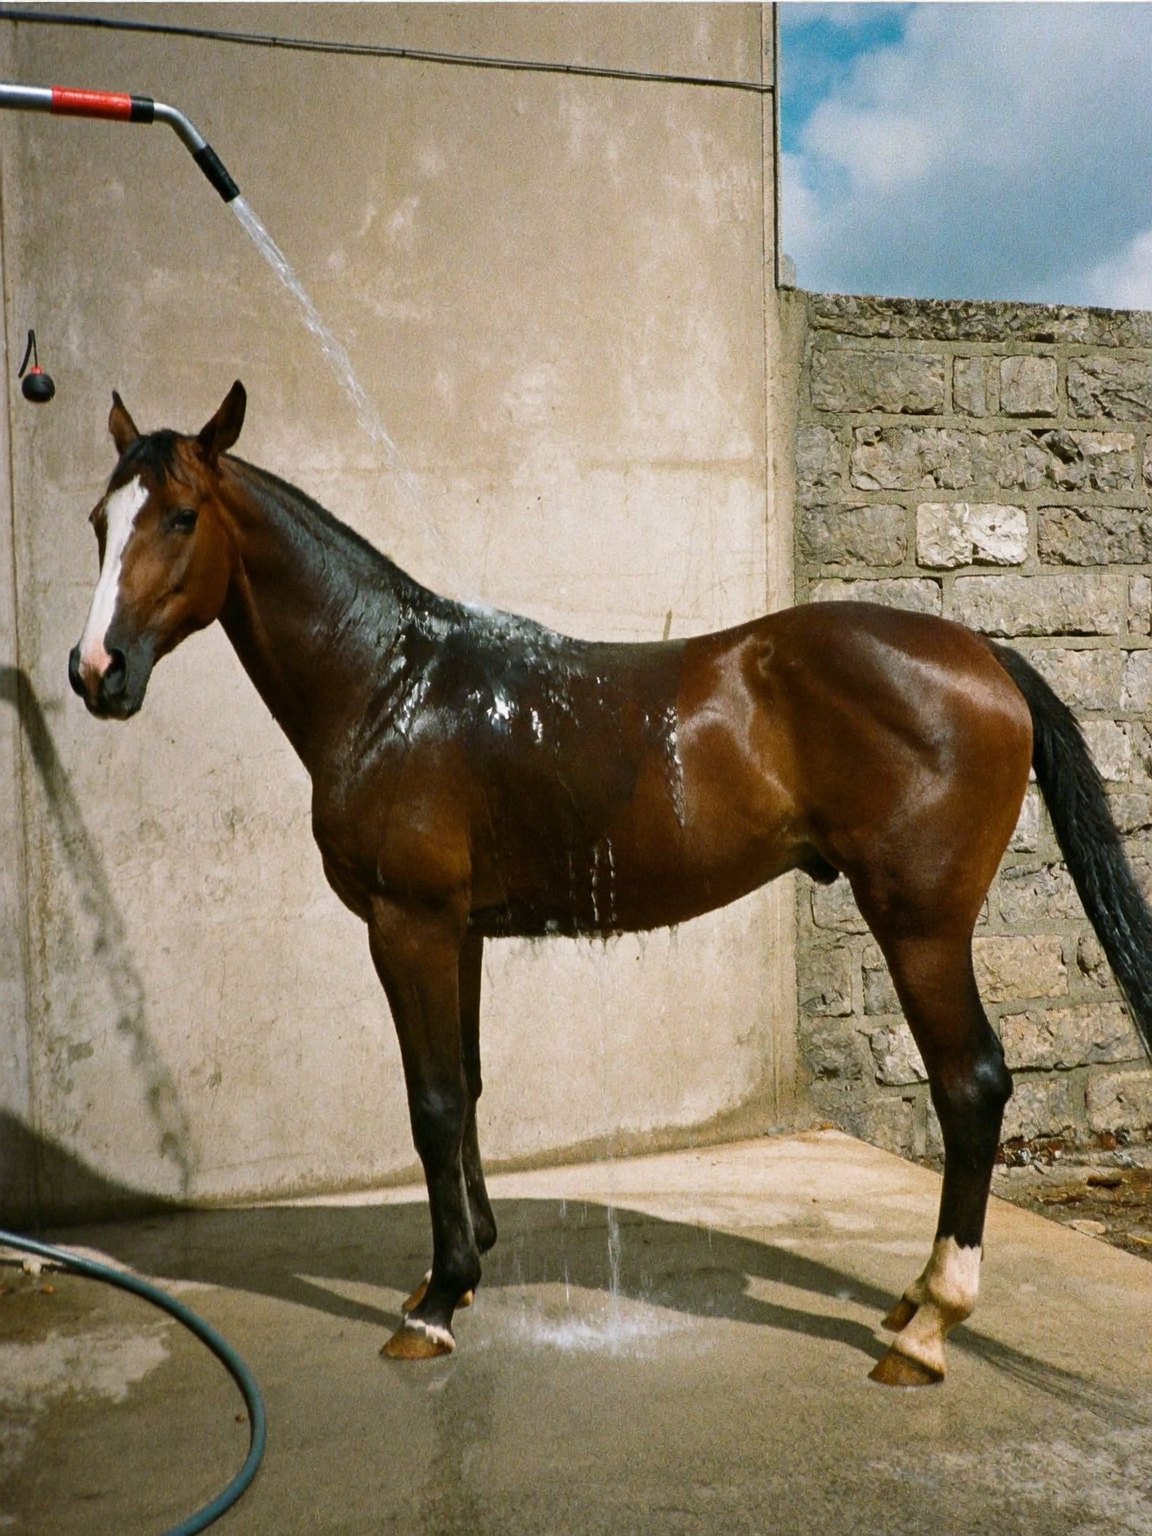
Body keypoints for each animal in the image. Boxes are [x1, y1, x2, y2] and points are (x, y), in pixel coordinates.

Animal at [69, 382, 1152, 1386]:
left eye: (180, 516)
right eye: (97, 521)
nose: (95, 671)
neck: (393, 684)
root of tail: (984, 656)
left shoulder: (406, 924)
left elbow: (430, 1102)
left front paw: (438, 1305)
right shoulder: (459, 931)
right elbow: (467, 1085)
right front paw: (459, 1267)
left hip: (921, 925)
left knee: (972, 1085)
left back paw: (928, 1328)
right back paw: (909, 1301)